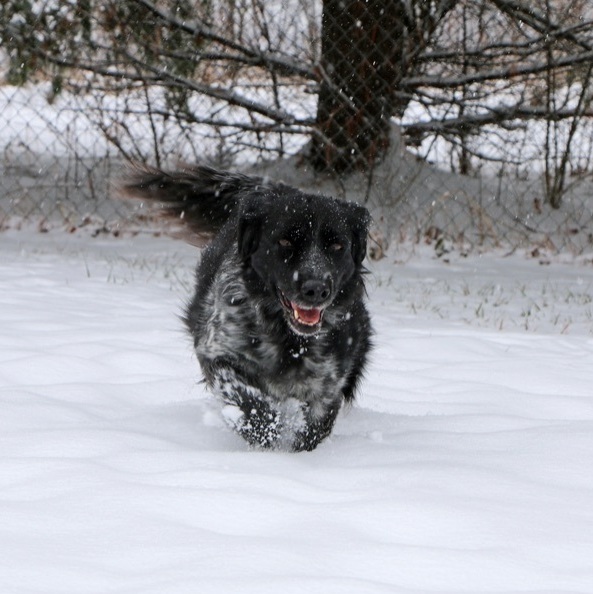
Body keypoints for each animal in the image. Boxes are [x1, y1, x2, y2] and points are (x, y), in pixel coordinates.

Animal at [122, 162, 372, 448]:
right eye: (285, 241)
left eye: (337, 245)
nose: (316, 289)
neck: (289, 340)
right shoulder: (216, 352)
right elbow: (247, 400)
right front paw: (263, 435)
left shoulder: (328, 385)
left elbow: (314, 428)